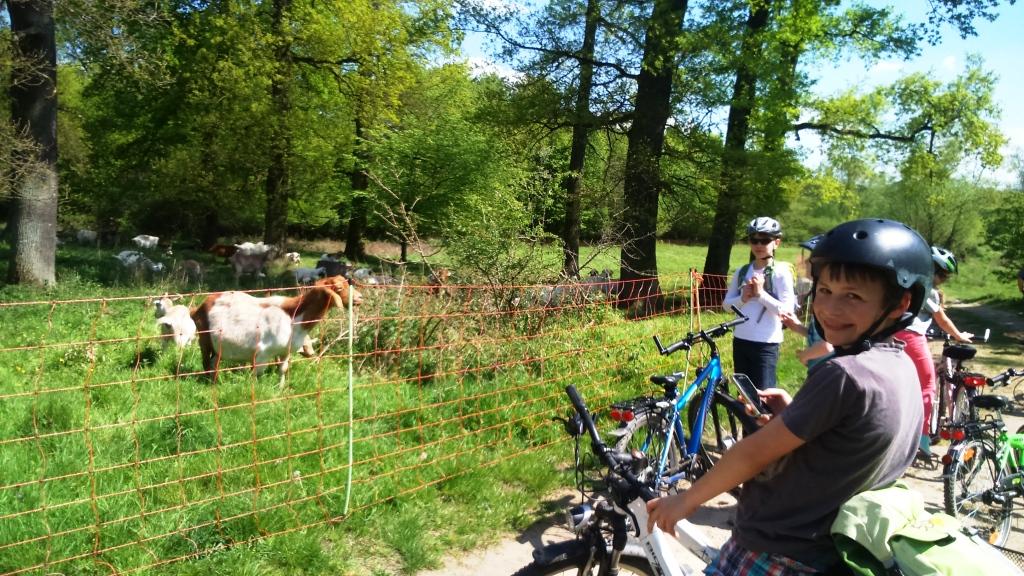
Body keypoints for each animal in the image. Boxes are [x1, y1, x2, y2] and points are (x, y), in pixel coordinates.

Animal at [192, 274, 364, 385]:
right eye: (339, 287)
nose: (360, 298)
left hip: (218, 345)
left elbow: (283, 369)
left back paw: (215, 382)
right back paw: (209, 384)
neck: (294, 316)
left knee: (214, 361)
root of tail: (198, 308)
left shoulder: (285, 351)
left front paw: (280, 389)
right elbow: (256, 373)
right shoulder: (262, 353)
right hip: (204, 339)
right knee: (206, 362)